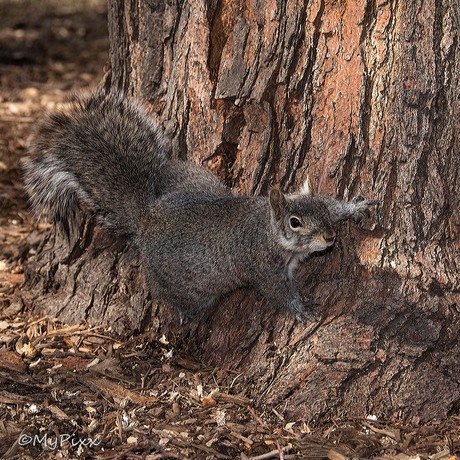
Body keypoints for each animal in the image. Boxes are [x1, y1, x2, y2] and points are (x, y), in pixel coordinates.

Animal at [22, 90, 378, 326]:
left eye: (320, 207)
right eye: (294, 222)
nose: (330, 238)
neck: (266, 227)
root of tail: (148, 217)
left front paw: (354, 207)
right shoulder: (261, 265)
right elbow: (276, 291)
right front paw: (301, 310)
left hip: (195, 178)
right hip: (180, 283)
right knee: (172, 296)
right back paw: (184, 312)